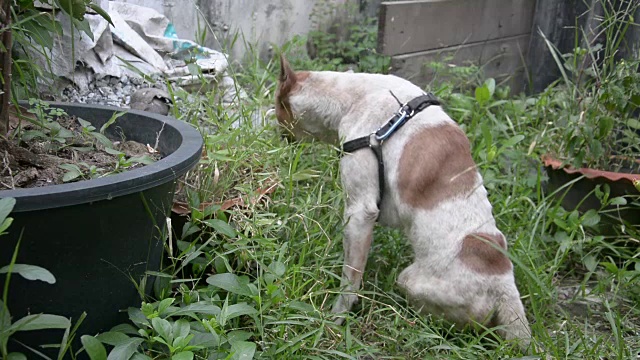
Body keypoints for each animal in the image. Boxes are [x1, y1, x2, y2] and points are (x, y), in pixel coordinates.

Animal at [276, 54, 528, 344]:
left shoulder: (360, 212)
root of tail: (504, 288)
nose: (276, 132)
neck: (353, 95)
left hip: (409, 281)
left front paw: (335, 319)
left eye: (277, 104)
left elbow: (350, 280)